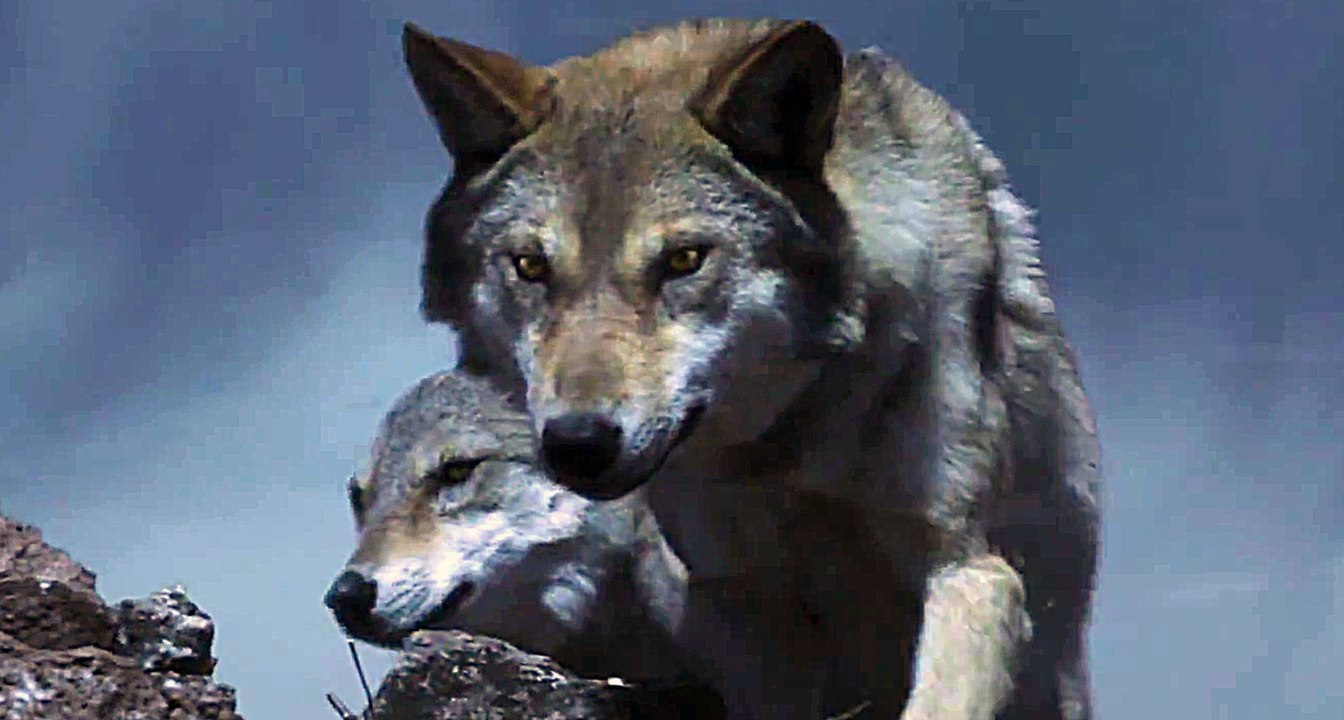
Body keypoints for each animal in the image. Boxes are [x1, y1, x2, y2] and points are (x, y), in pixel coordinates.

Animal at [401, 17, 1101, 720]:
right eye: (530, 267)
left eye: (684, 260)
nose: (578, 442)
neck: (788, 446)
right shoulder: (737, 606)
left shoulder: (971, 570)